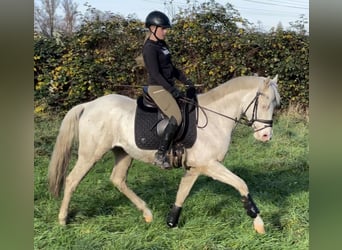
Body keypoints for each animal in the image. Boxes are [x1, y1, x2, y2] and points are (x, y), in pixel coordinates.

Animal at [48, 74, 280, 234]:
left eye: (275, 105)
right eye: (265, 103)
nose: (266, 136)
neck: (215, 118)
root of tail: (89, 105)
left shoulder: (196, 168)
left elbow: (182, 193)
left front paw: (171, 221)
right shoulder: (210, 165)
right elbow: (241, 184)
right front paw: (258, 222)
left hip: (123, 153)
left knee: (118, 180)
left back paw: (147, 214)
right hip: (91, 155)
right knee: (72, 180)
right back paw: (62, 220)